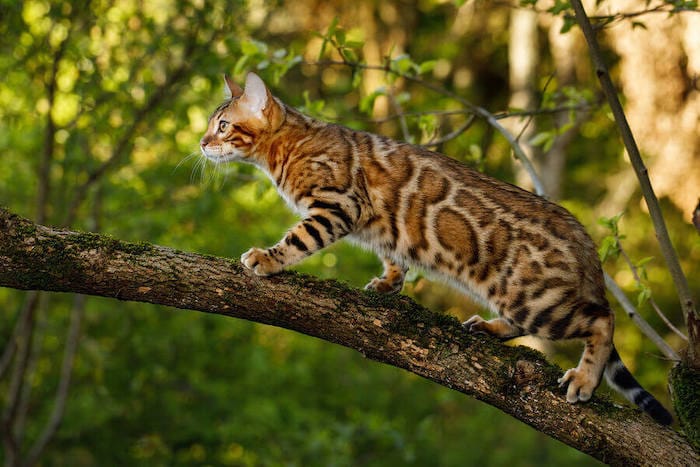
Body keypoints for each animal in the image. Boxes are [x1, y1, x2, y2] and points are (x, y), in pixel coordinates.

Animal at [198, 71, 672, 426]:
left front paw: (267, 258)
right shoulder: (379, 227)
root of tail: (587, 243)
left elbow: (300, 238)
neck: (290, 145)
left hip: (538, 298)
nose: (201, 143)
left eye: (222, 126)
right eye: (209, 126)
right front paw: (388, 284)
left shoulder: (338, 204)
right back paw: (491, 327)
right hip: (518, 296)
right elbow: (394, 257)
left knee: (603, 319)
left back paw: (584, 379)